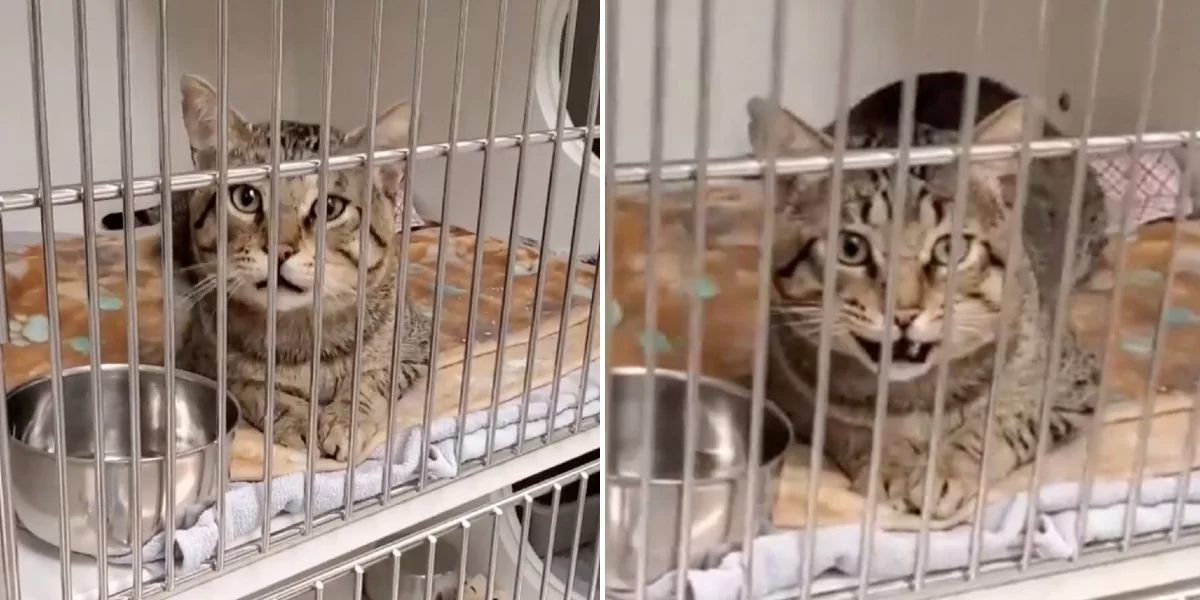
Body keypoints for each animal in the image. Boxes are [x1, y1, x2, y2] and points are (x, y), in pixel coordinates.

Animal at [169, 75, 432, 458]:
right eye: (246, 198)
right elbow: (254, 387)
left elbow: (371, 379)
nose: (280, 249)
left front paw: (346, 418)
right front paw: (297, 418)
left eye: (330, 207)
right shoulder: (199, 362)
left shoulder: (417, 349)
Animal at [753, 96, 1099, 518]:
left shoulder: (1072, 386)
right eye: (851, 248)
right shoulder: (785, 393)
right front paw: (893, 461)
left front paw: (942, 468)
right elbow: (851, 428)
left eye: (951, 248)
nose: (904, 312)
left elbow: (1002, 422)